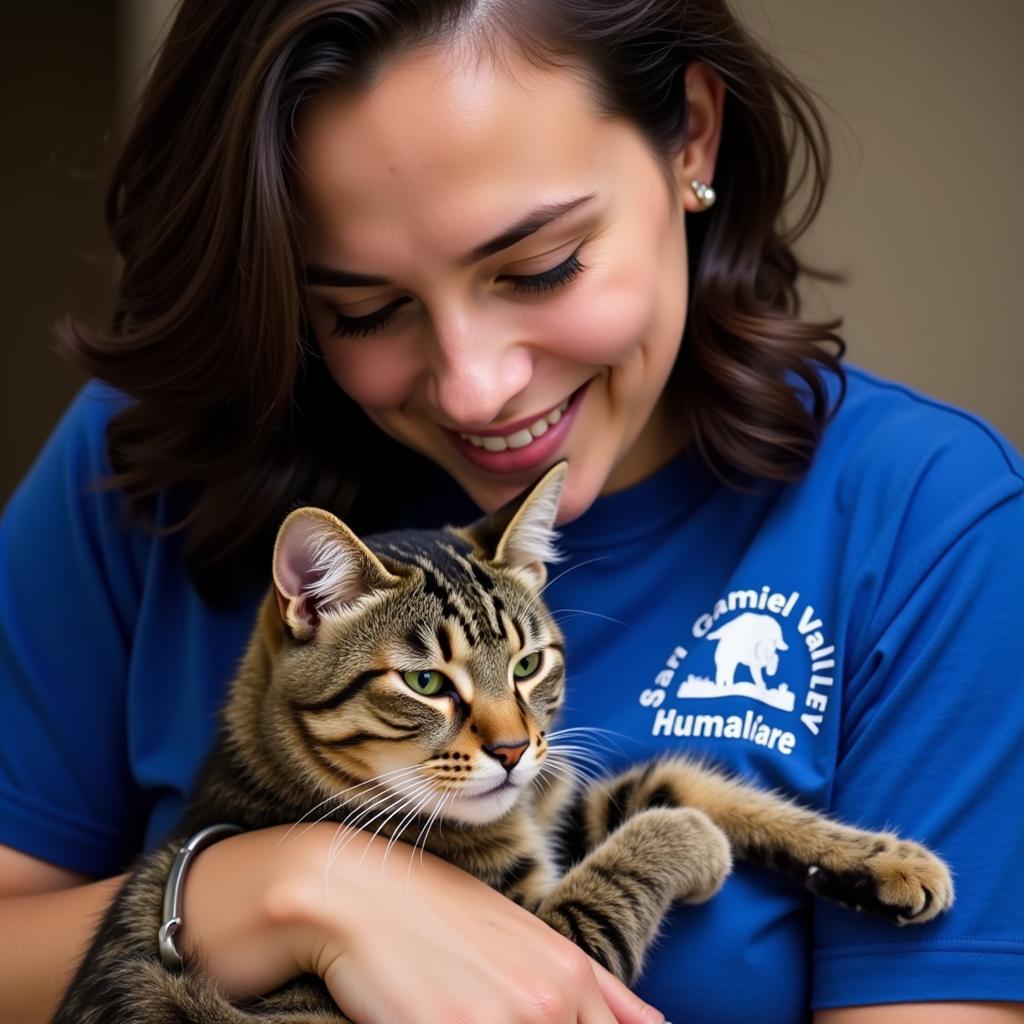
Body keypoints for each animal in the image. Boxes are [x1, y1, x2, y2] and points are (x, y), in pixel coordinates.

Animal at [56, 464, 950, 1024]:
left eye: (528, 664)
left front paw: (881, 860)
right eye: (425, 683)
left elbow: (678, 783)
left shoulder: (556, 801)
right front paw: (695, 844)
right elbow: (643, 847)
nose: (516, 750)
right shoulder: (549, 942)